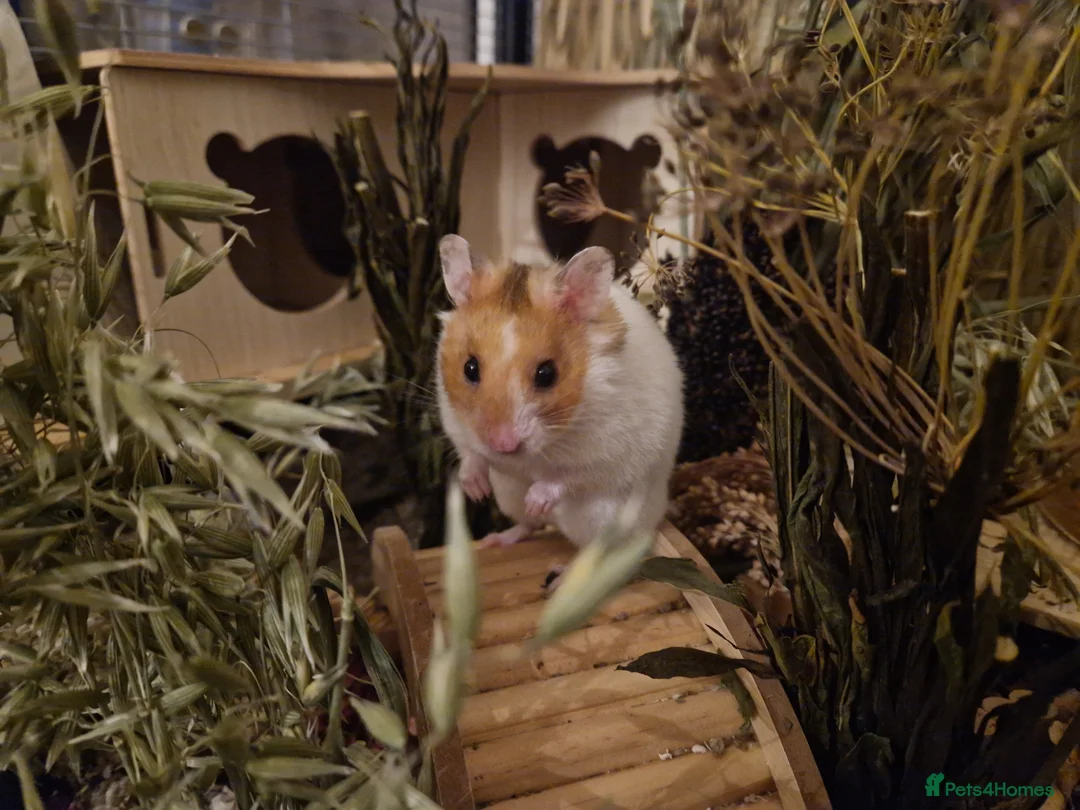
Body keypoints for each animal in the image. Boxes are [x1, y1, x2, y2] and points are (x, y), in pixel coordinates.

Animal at [435, 234, 685, 553]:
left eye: (547, 374)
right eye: (470, 368)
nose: (503, 446)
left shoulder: (606, 452)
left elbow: (567, 476)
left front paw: (536, 499)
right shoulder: (456, 423)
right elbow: (470, 454)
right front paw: (476, 491)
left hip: (606, 518)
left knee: (597, 552)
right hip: (507, 494)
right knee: (528, 526)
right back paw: (497, 539)